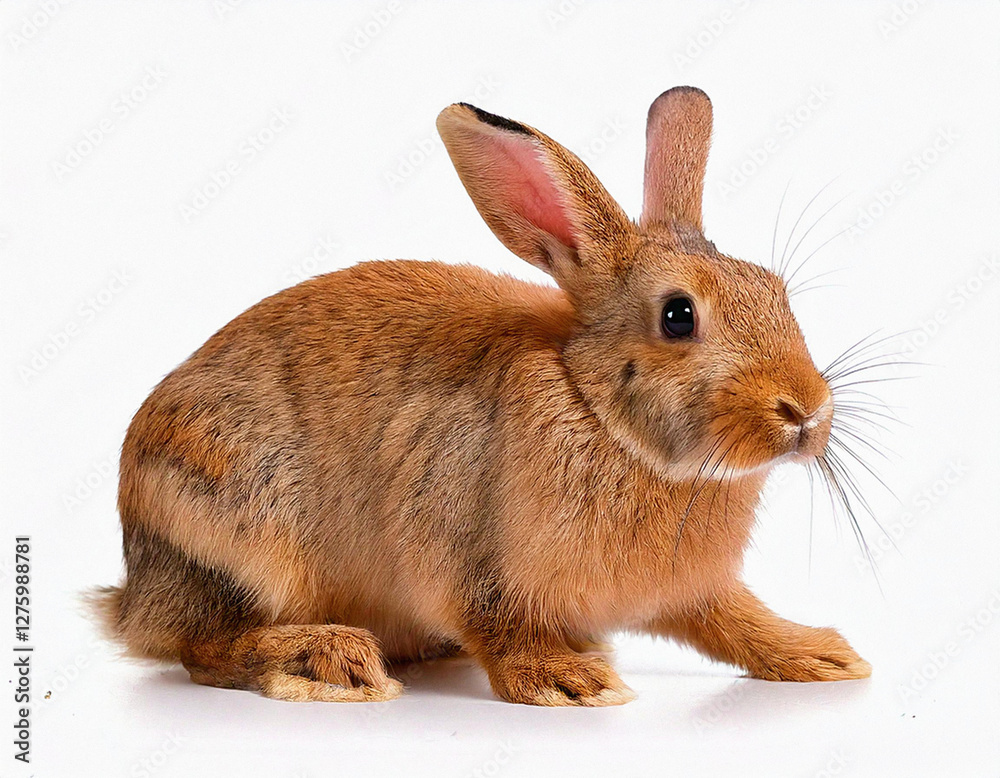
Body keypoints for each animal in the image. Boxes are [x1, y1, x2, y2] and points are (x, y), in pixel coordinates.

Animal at [92, 86, 871, 706]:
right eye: (678, 316)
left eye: (776, 291)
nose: (806, 411)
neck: (596, 412)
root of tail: (133, 597)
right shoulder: (458, 544)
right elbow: (494, 623)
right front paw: (566, 680)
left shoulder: (695, 591)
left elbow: (732, 621)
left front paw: (821, 655)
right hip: (237, 530)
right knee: (204, 646)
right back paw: (328, 660)